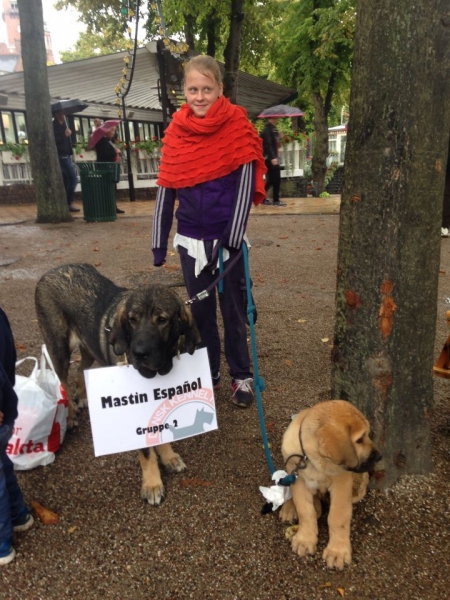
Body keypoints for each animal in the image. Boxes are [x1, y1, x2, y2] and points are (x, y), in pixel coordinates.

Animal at [36, 264, 201, 504]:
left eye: (162, 320)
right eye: (132, 319)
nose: (138, 353)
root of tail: (53, 270)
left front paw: (168, 457)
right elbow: (146, 452)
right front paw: (152, 483)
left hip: (88, 347)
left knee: (80, 369)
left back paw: (83, 396)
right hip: (59, 348)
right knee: (63, 380)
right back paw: (71, 415)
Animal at [280, 400, 382, 568]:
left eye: (368, 435)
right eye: (360, 439)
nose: (380, 456)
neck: (313, 460)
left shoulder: (342, 483)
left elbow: (337, 516)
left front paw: (337, 551)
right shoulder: (298, 480)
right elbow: (305, 510)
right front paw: (305, 539)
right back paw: (291, 508)